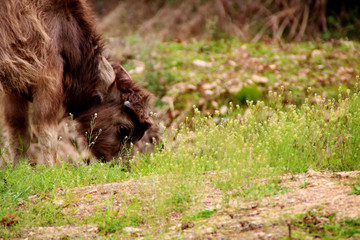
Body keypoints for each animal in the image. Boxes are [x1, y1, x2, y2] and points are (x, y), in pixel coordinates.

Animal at [0, 0, 152, 166]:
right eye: (124, 128)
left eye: (140, 135)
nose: (124, 166)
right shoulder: (47, 77)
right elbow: (46, 133)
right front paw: (52, 168)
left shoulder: (14, 85)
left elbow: (19, 133)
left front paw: (18, 167)